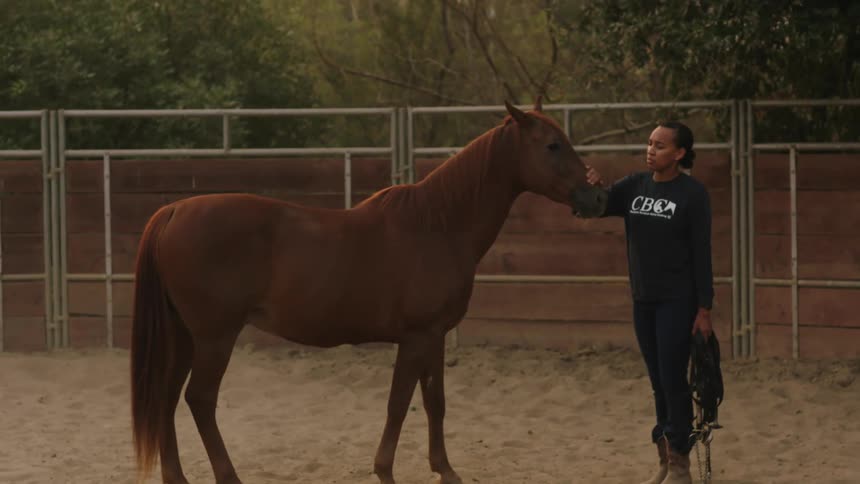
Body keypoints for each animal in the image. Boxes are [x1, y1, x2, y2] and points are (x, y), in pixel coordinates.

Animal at [129, 99, 608, 484]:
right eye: (553, 145)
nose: (596, 195)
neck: (437, 225)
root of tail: (174, 211)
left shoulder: (434, 337)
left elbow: (435, 402)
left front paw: (445, 470)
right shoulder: (415, 337)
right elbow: (399, 404)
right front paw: (385, 471)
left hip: (185, 337)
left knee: (166, 399)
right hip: (215, 337)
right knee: (199, 400)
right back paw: (229, 476)